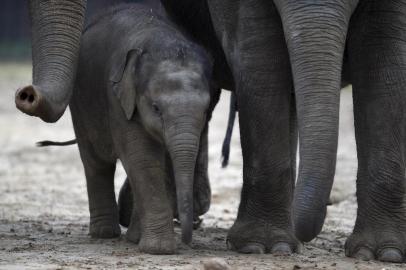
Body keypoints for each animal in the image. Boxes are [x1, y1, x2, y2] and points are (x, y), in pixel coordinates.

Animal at [70, 3, 216, 254]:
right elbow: (144, 158)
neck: (161, 40)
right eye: (156, 108)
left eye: (206, 110)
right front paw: (159, 250)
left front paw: (142, 241)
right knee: (96, 162)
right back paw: (104, 234)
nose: (189, 237)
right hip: (80, 104)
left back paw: (130, 237)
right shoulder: (118, 99)